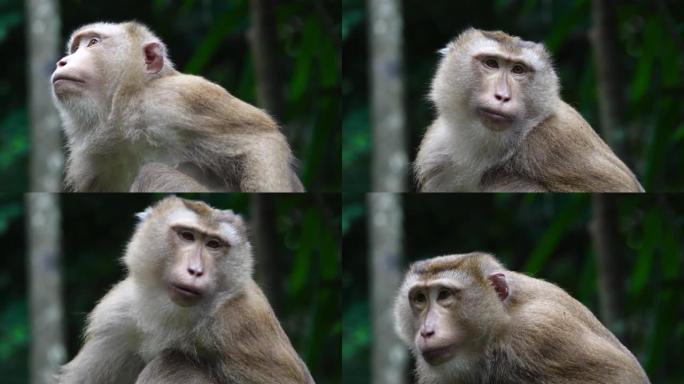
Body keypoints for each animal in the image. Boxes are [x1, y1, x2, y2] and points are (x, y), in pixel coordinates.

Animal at [50, 21, 302, 192]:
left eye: (93, 42)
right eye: (75, 48)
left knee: (152, 174)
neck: (121, 119)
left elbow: (261, 139)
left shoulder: (175, 98)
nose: (62, 62)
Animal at [56, 196, 316, 382]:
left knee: (172, 363)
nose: (195, 271)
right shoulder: (117, 316)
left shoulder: (241, 322)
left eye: (213, 244)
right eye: (187, 236)